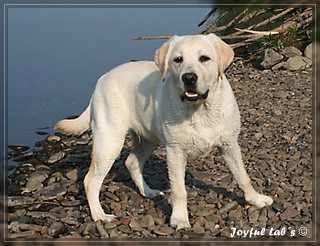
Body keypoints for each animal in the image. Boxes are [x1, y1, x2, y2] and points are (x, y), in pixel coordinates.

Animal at [54, 33, 272, 230]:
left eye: (204, 58)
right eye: (178, 59)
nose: (189, 78)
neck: (201, 109)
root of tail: (102, 78)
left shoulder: (230, 145)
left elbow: (243, 176)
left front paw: (256, 199)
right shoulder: (175, 152)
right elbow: (179, 190)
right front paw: (180, 219)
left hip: (148, 139)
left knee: (131, 162)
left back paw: (148, 192)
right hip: (109, 142)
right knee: (90, 181)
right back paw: (99, 215)